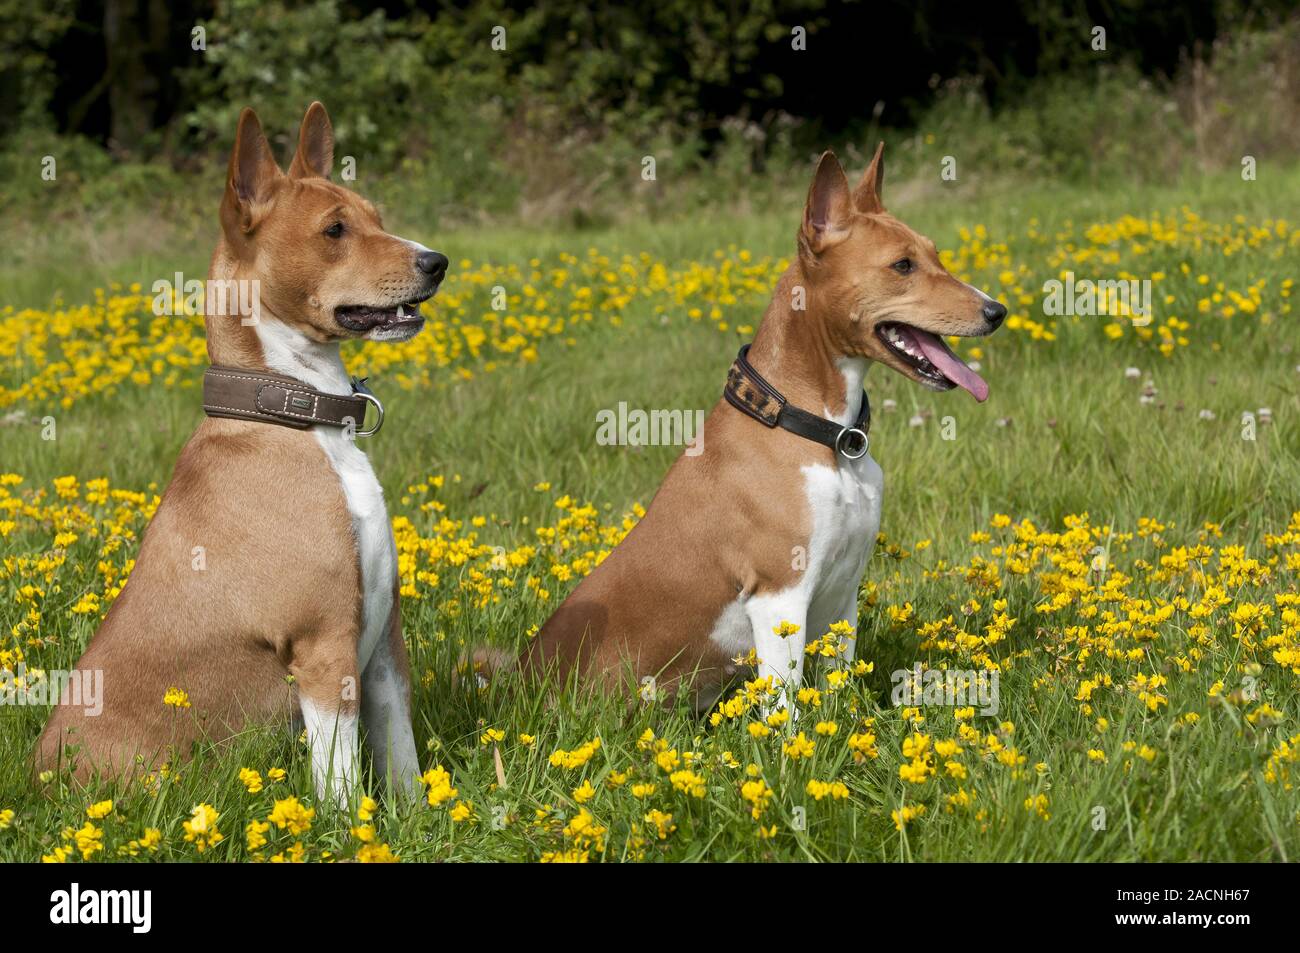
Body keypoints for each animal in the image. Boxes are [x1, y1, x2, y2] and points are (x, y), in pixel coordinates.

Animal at [35, 102, 447, 800]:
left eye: (376, 216)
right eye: (335, 230)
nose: (437, 261)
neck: (296, 419)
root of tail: (37, 775)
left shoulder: (383, 643)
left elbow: (403, 759)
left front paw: (420, 818)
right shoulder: (323, 645)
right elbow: (340, 782)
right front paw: (351, 824)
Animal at [514, 141, 1003, 707]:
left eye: (936, 255)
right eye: (902, 265)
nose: (997, 311)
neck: (822, 435)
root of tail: (515, 679)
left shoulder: (842, 592)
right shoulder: (779, 596)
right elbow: (785, 708)